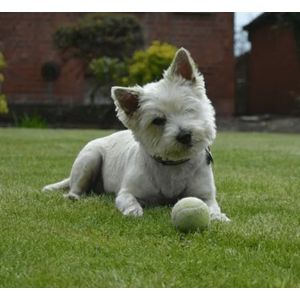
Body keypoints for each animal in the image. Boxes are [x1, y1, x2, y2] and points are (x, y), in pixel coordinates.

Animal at [42, 47, 230, 220]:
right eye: (158, 120)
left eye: (189, 109)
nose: (184, 135)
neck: (173, 165)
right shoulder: (126, 192)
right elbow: (129, 200)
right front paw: (134, 211)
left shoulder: (205, 195)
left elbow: (212, 206)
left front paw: (218, 217)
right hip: (89, 159)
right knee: (76, 187)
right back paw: (74, 196)